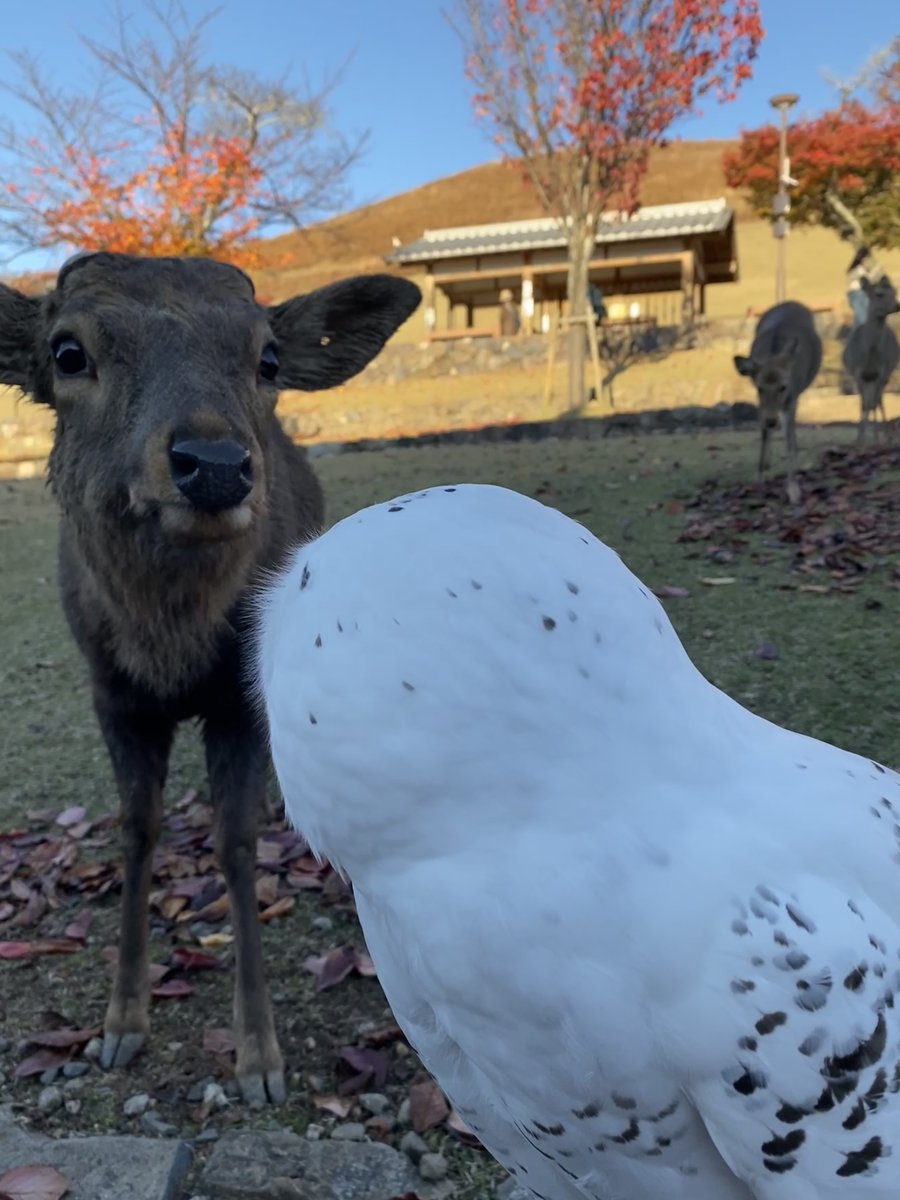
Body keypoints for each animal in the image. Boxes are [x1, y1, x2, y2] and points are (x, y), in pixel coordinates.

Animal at [0, 252, 421, 1105]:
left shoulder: (239, 704)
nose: (217, 467)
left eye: (268, 358)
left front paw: (259, 1056)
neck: (175, 651)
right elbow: (137, 830)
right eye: (68, 352)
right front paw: (120, 1023)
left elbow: (235, 844)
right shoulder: (113, 696)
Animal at [733, 301, 822, 504]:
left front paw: (794, 490)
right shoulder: (761, 406)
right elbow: (764, 436)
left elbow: (788, 442)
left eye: (783, 386)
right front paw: (759, 480)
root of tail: (791, 302)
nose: (771, 420)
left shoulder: (792, 398)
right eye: (759, 388)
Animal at [842, 274, 900, 441]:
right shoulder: (858, 373)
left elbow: (874, 402)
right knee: (869, 401)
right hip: (869, 379)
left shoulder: (882, 371)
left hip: (886, 374)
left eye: (895, 291)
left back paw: (881, 434)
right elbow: (863, 404)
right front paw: (859, 437)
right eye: (879, 294)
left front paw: (879, 435)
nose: (897, 305)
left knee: (878, 400)